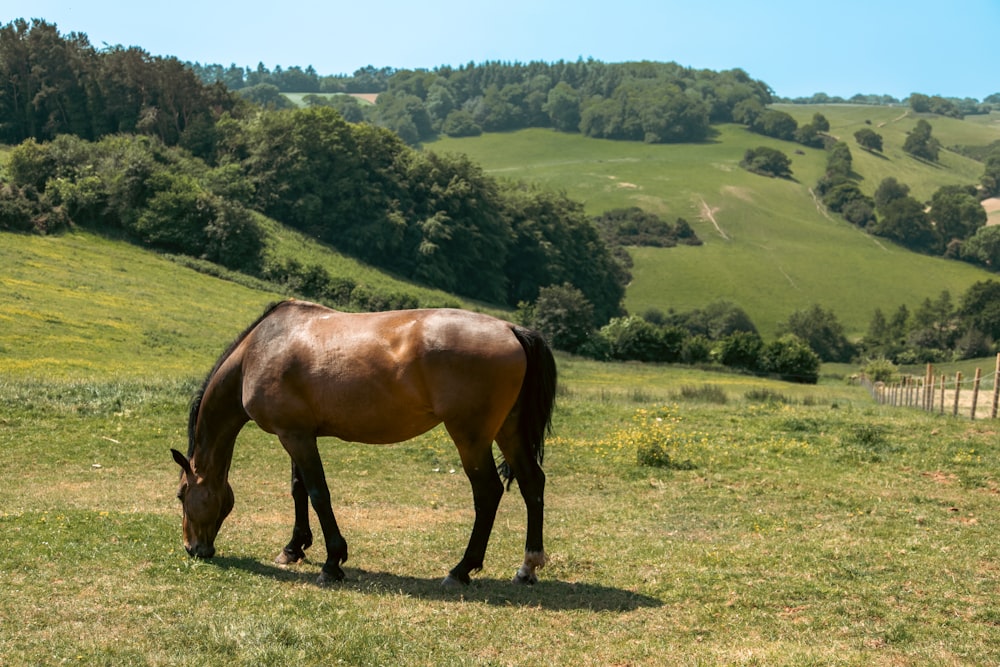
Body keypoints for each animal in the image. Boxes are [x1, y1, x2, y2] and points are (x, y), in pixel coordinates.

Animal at [170, 300, 556, 588]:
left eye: (180, 494)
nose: (192, 548)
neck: (260, 349)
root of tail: (511, 330)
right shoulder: (297, 433)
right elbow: (298, 489)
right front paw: (294, 548)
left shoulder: (295, 437)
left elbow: (317, 493)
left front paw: (332, 561)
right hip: (508, 431)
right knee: (532, 483)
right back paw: (527, 566)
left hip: (471, 437)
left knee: (488, 492)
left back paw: (461, 570)